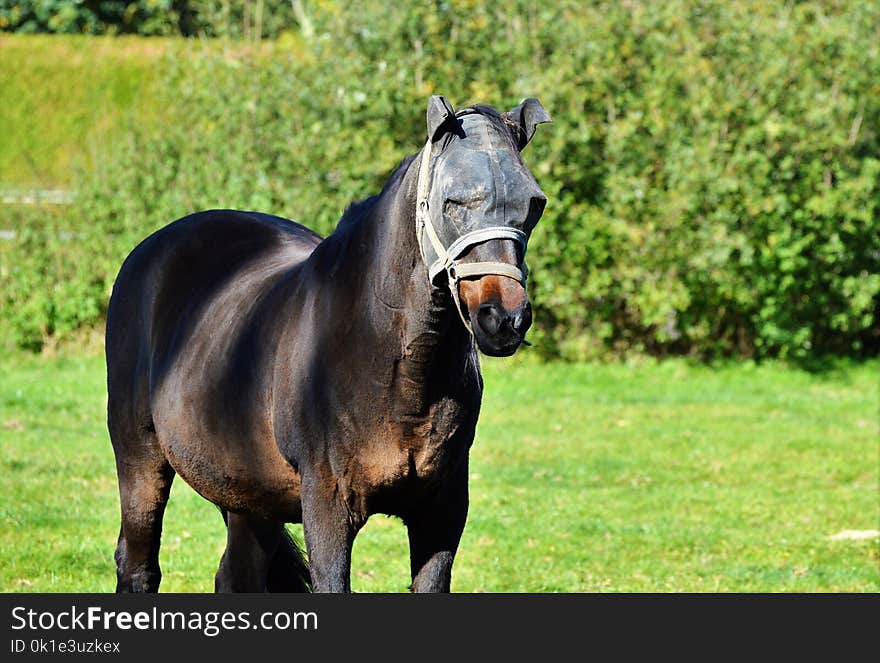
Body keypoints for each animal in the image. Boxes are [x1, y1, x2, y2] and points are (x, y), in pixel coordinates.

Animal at [105, 96, 552, 592]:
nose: (504, 318)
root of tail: (149, 250)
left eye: (534, 204)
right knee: (138, 563)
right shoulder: (328, 506)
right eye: (452, 200)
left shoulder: (442, 511)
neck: (400, 370)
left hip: (249, 494)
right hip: (140, 457)